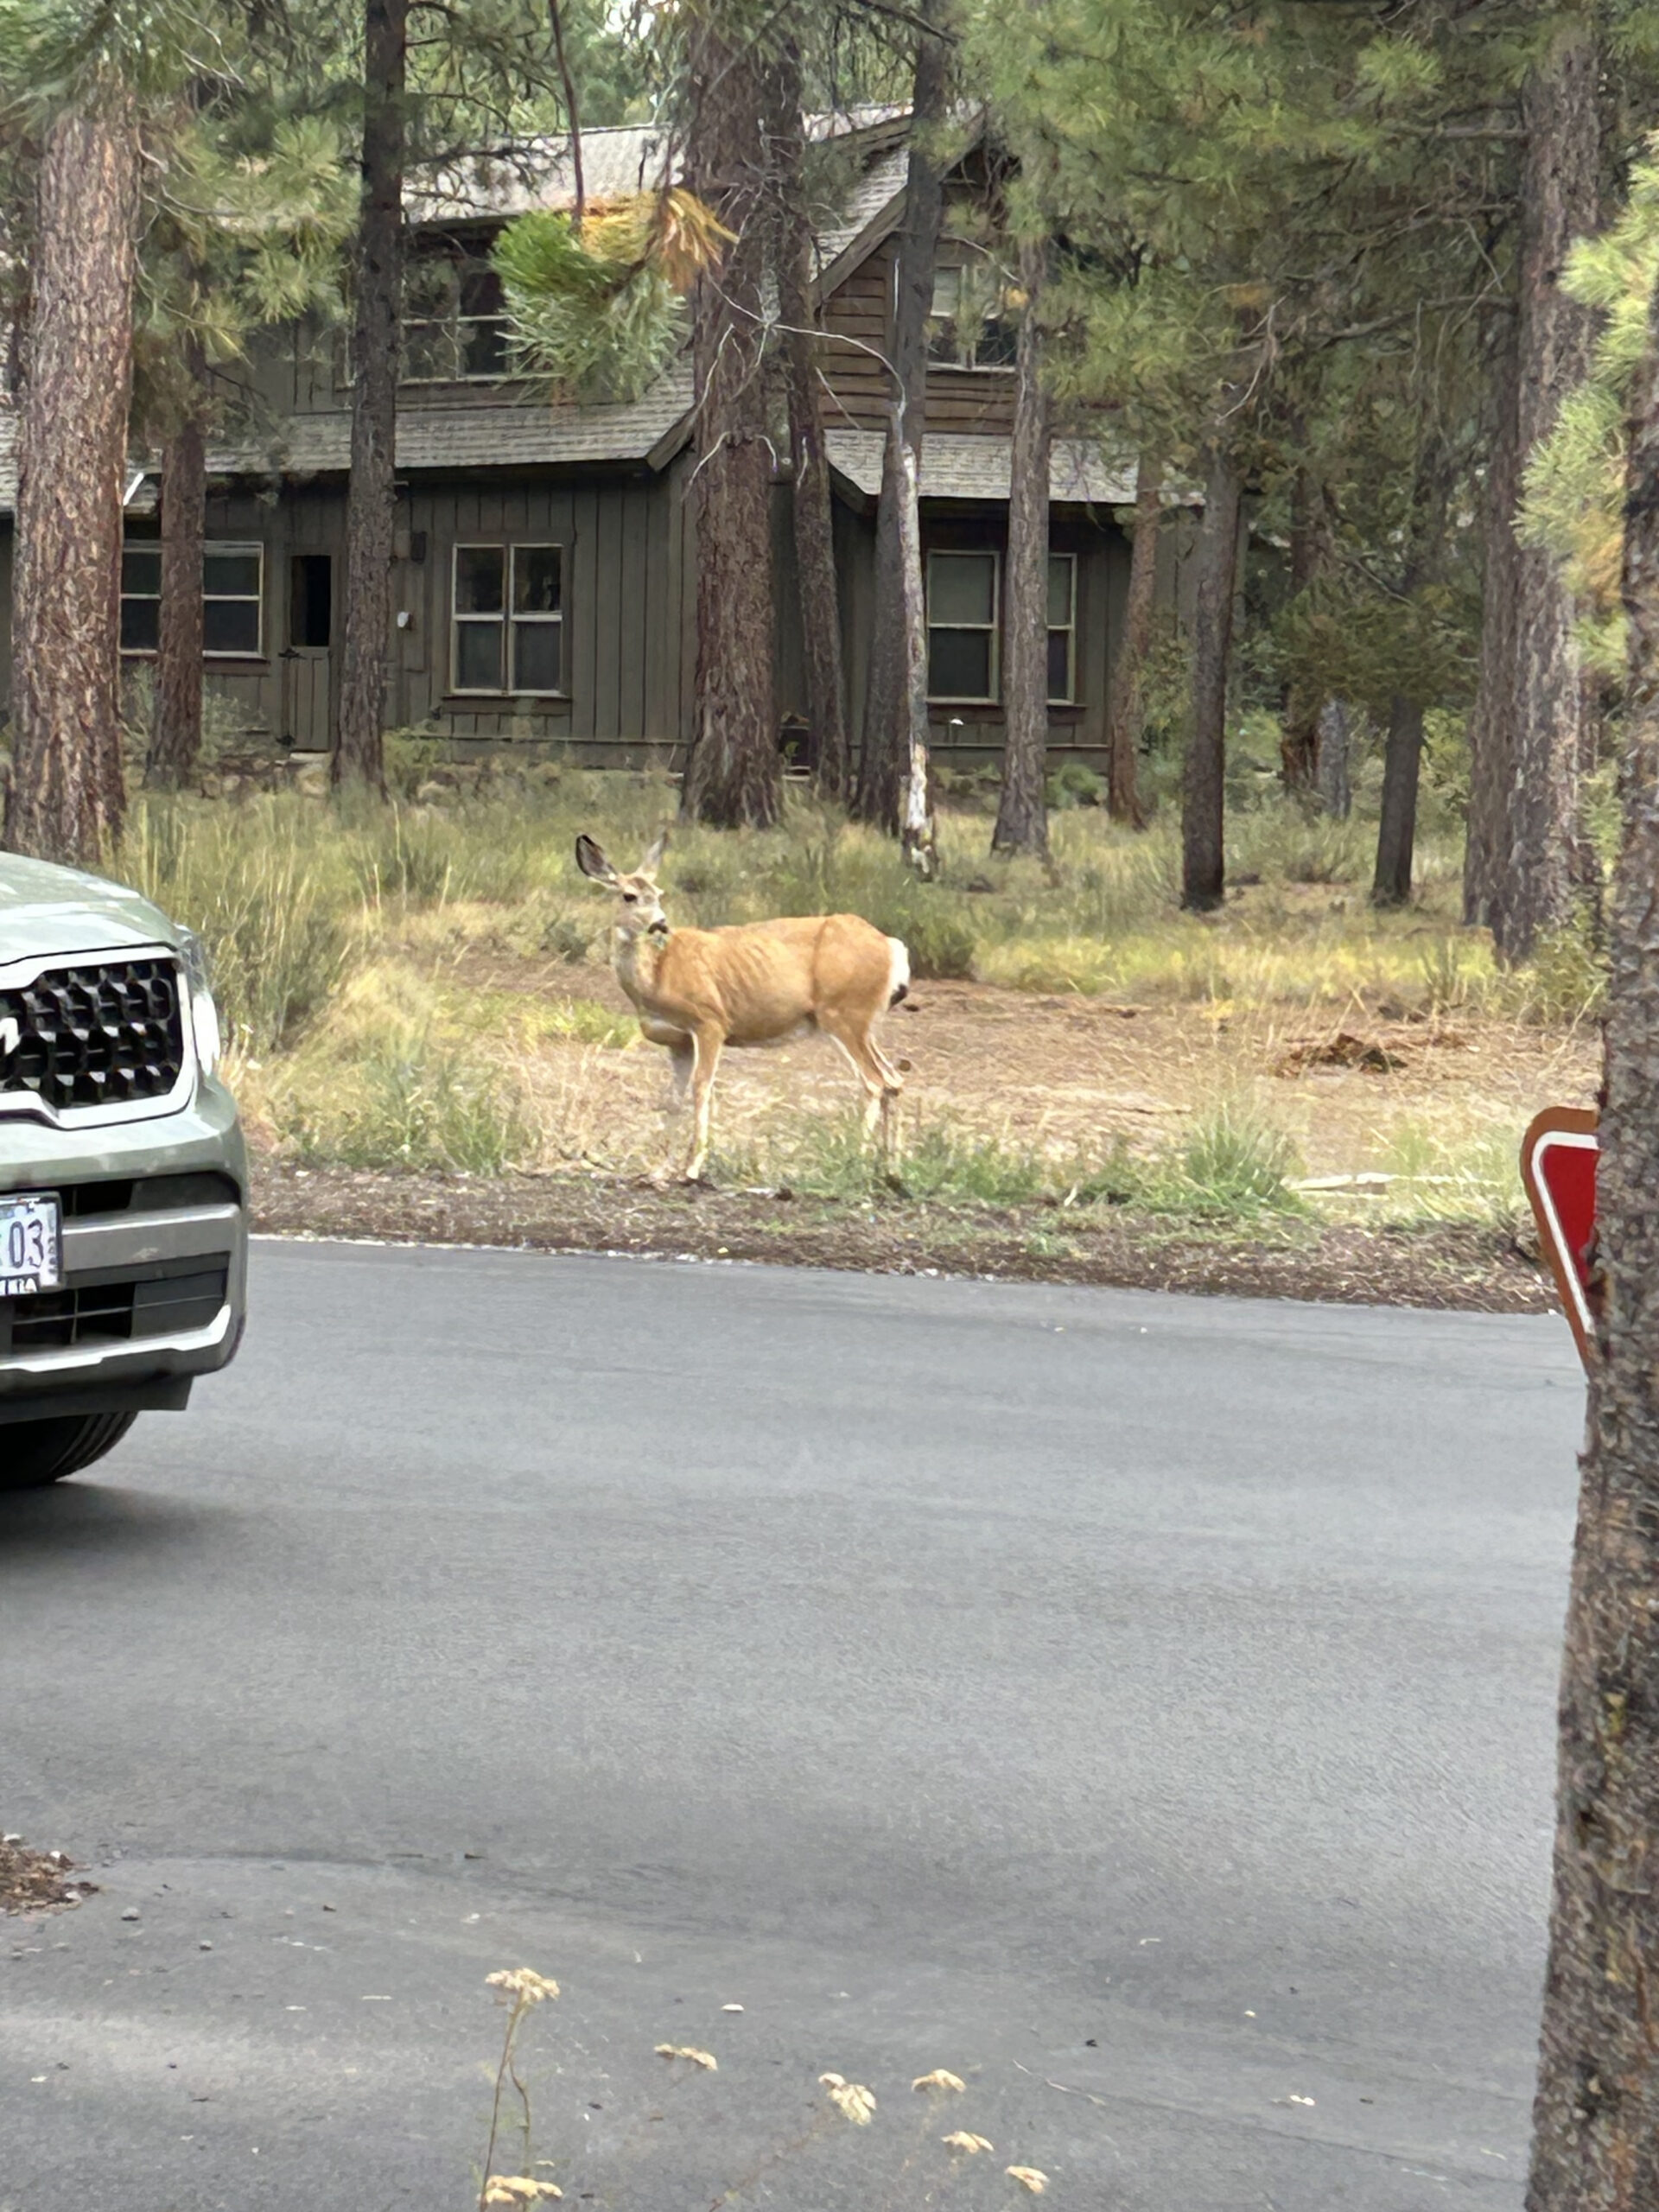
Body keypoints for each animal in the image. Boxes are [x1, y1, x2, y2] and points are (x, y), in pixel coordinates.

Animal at [575, 831, 911, 1182]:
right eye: (629, 896)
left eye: (659, 894)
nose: (661, 924)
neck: (656, 976)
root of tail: (892, 946)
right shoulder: (678, 1041)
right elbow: (672, 1098)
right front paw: (659, 1169)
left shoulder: (711, 1021)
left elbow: (702, 1087)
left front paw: (692, 1166)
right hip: (862, 1022)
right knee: (894, 1080)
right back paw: (892, 1167)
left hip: (844, 1013)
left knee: (874, 1082)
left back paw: (857, 1162)